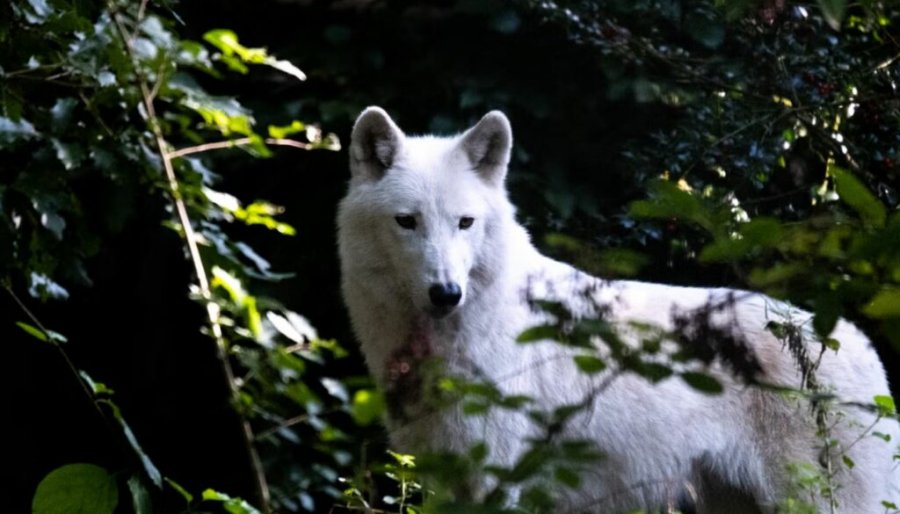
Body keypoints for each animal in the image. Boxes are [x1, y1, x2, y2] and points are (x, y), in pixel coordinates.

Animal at [338, 106, 900, 510]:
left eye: (465, 222)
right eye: (407, 222)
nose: (447, 293)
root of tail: (860, 344)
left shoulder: (495, 480)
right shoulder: (441, 477)